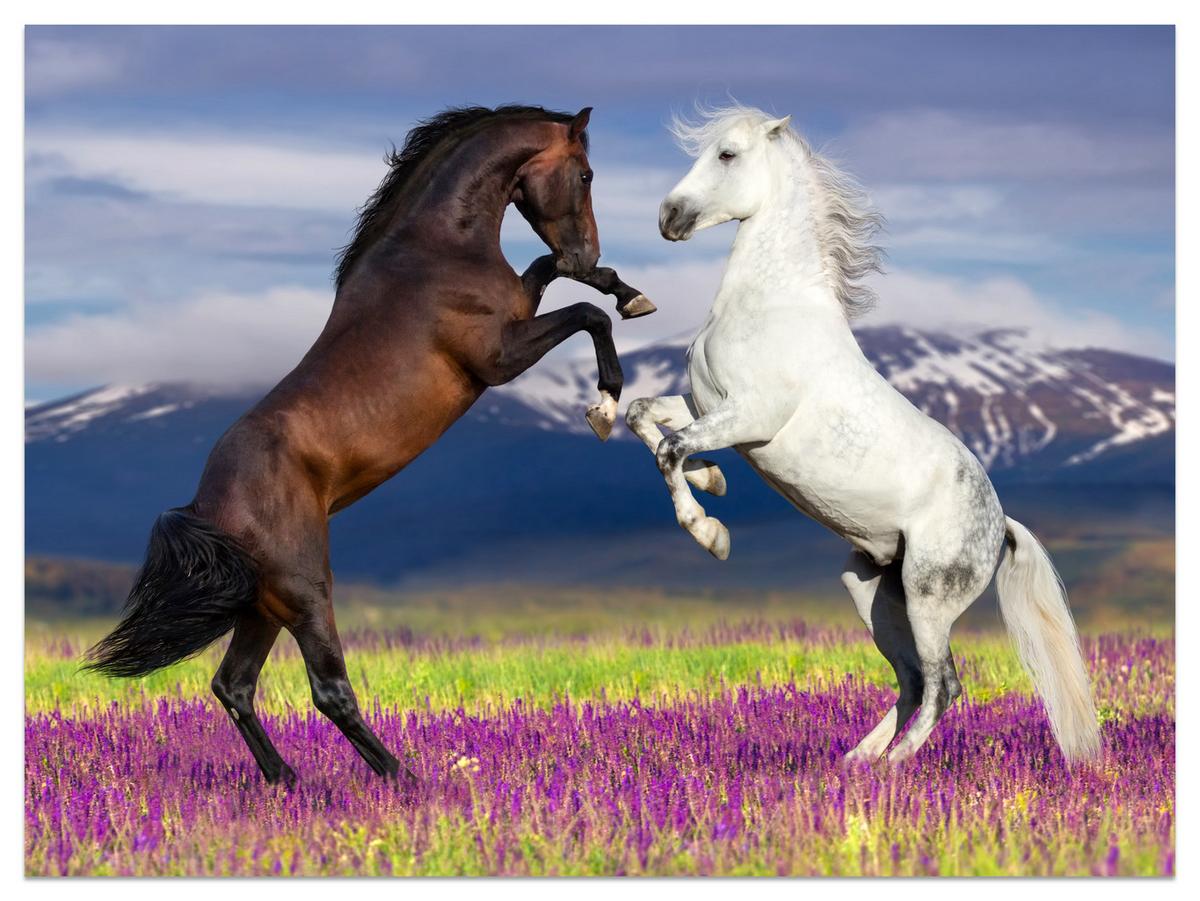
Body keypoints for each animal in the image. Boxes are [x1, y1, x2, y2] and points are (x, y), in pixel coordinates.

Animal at [85, 104, 657, 785]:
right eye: (587, 174)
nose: (586, 246)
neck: (437, 251)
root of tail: (206, 506)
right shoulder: (499, 358)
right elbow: (586, 316)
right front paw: (605, 403)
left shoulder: (520, 310)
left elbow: (557, 279)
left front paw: (627, 292)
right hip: (306, 591)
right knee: (327, 690)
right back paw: (404, 778)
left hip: (263, 605)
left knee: (234, 685)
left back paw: (287, 781)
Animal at [626, 104, 1100, 765]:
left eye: (727, 154)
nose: (670, 218)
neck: (771, 305)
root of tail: (999, 524)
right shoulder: (705, 404)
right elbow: (642, 415)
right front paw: (713, 481)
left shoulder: (749, 418)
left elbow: (671, 449)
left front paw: (710, 534)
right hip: (871, 589)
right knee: (911, 680)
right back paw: (857, 763)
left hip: (929, 598)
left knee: (944, 684)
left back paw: (895, 767)